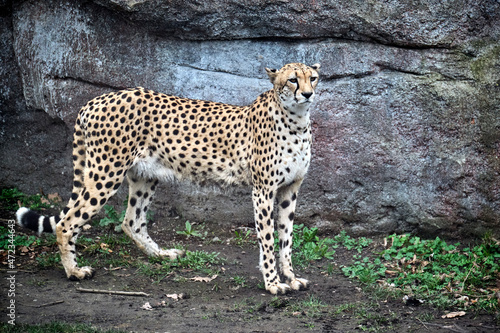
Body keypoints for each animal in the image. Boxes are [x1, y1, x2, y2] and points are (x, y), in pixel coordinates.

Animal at [16, 62, 320, 294]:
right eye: (293, 80)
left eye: (313, 78)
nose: (307, 94)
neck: (296, 120)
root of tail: (97, 99)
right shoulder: (263, 190)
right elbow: (268, 239)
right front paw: (272, 283)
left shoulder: (290, 190)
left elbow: (286, 238)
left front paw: (291, 277)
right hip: (106, 172)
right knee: (66, 223)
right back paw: (74, 271)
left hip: (145, 175)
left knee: (131, 221)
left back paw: (162, 255)